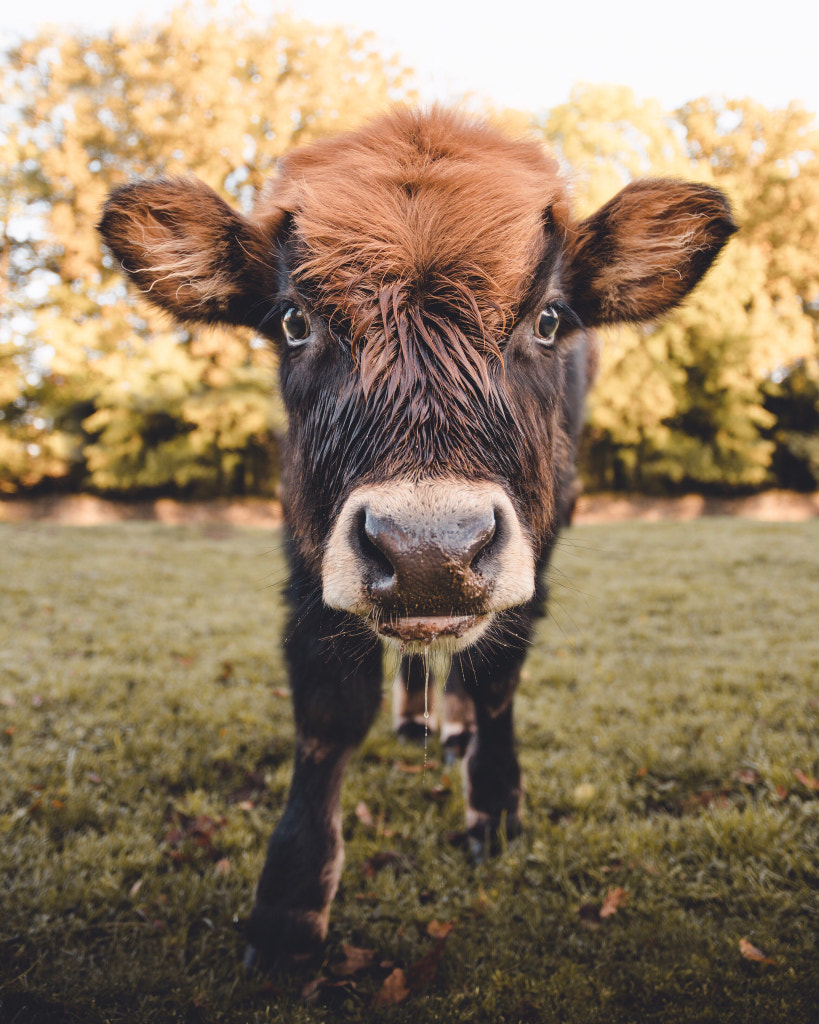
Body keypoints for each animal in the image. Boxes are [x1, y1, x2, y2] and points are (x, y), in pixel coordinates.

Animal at [99, 108, 733, 962]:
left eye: (547, 320)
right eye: (294, 321)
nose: (428, 551)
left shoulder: (538, 543)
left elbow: (494, 677)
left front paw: (494, 806)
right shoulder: (308, 548)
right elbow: (328, 709)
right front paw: (290, 905)